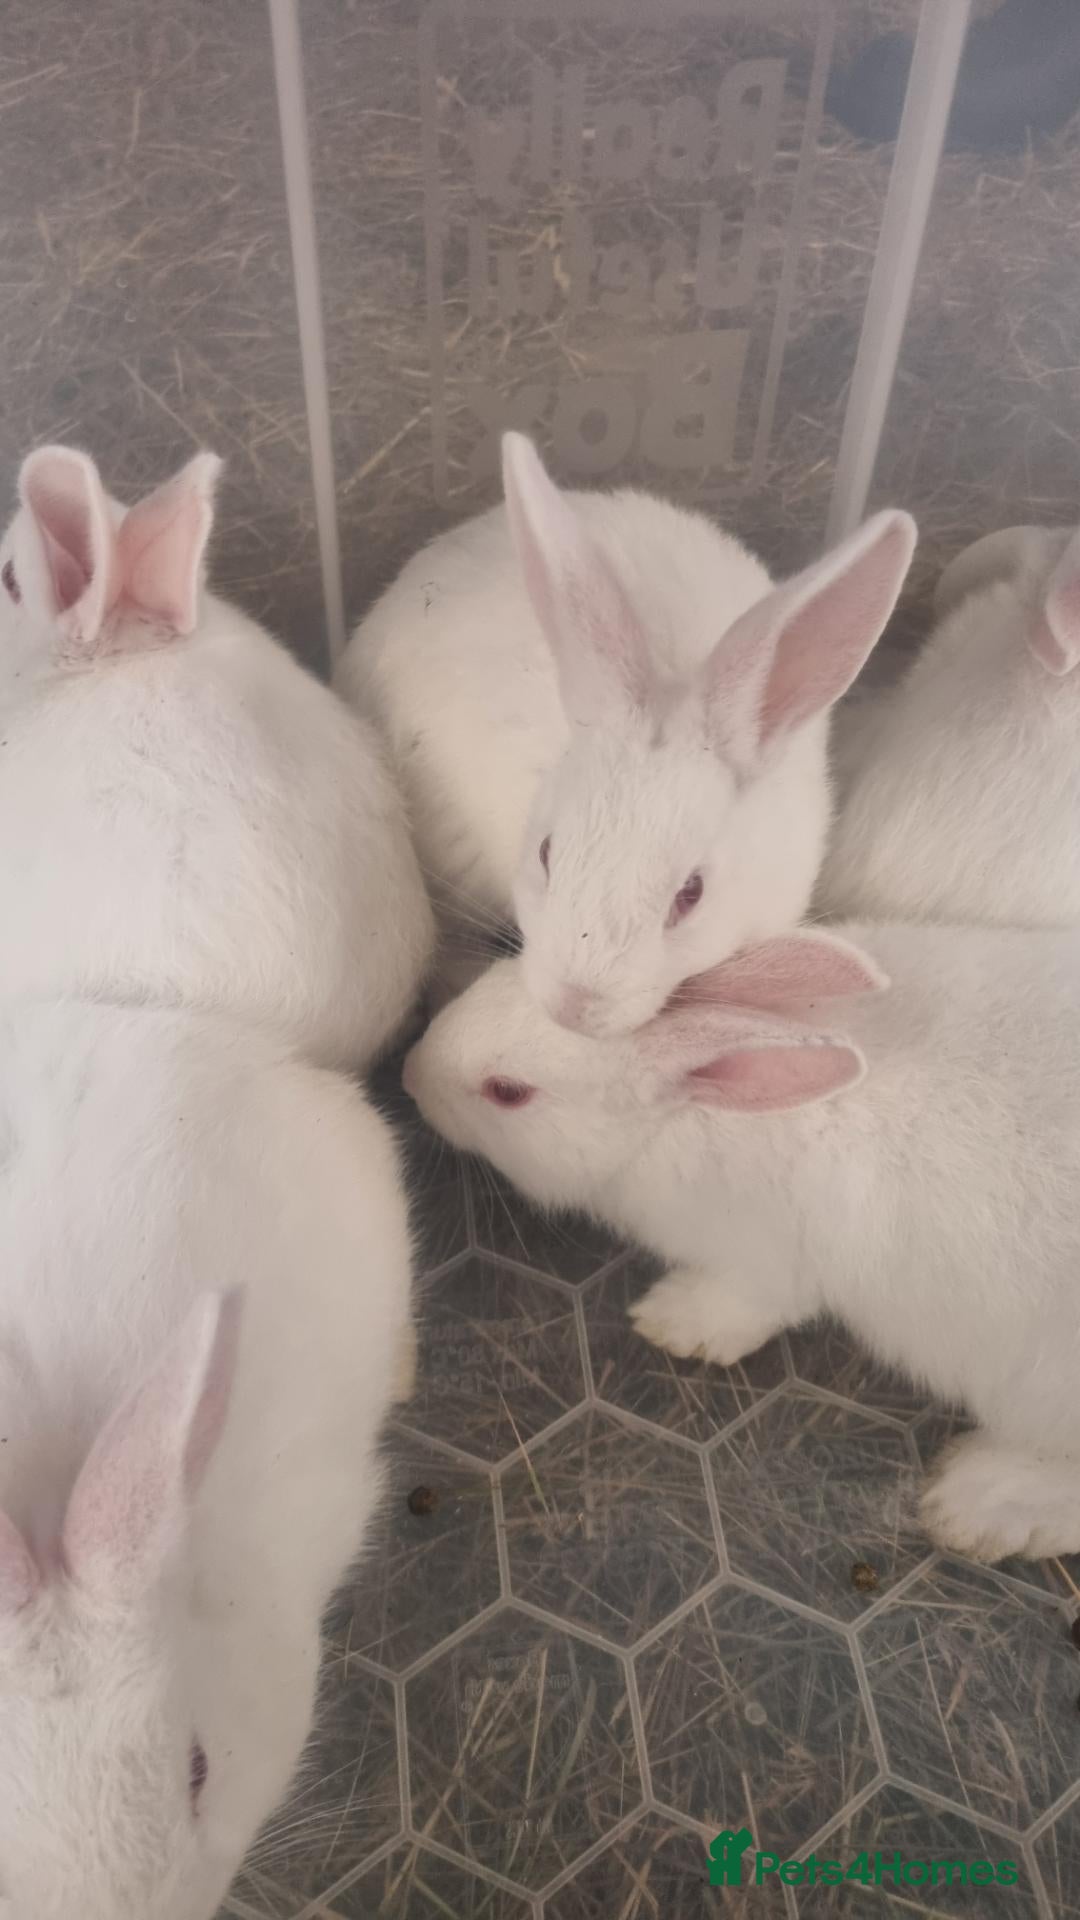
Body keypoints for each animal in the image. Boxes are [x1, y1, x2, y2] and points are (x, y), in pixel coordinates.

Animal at [403, 920, 1080, 1562]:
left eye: (508, 1092)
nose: (411, 1075)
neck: (681, 1114)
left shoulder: (766, 1265)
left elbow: (742, 1307)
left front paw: (671, 1322)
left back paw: (974, 1500)